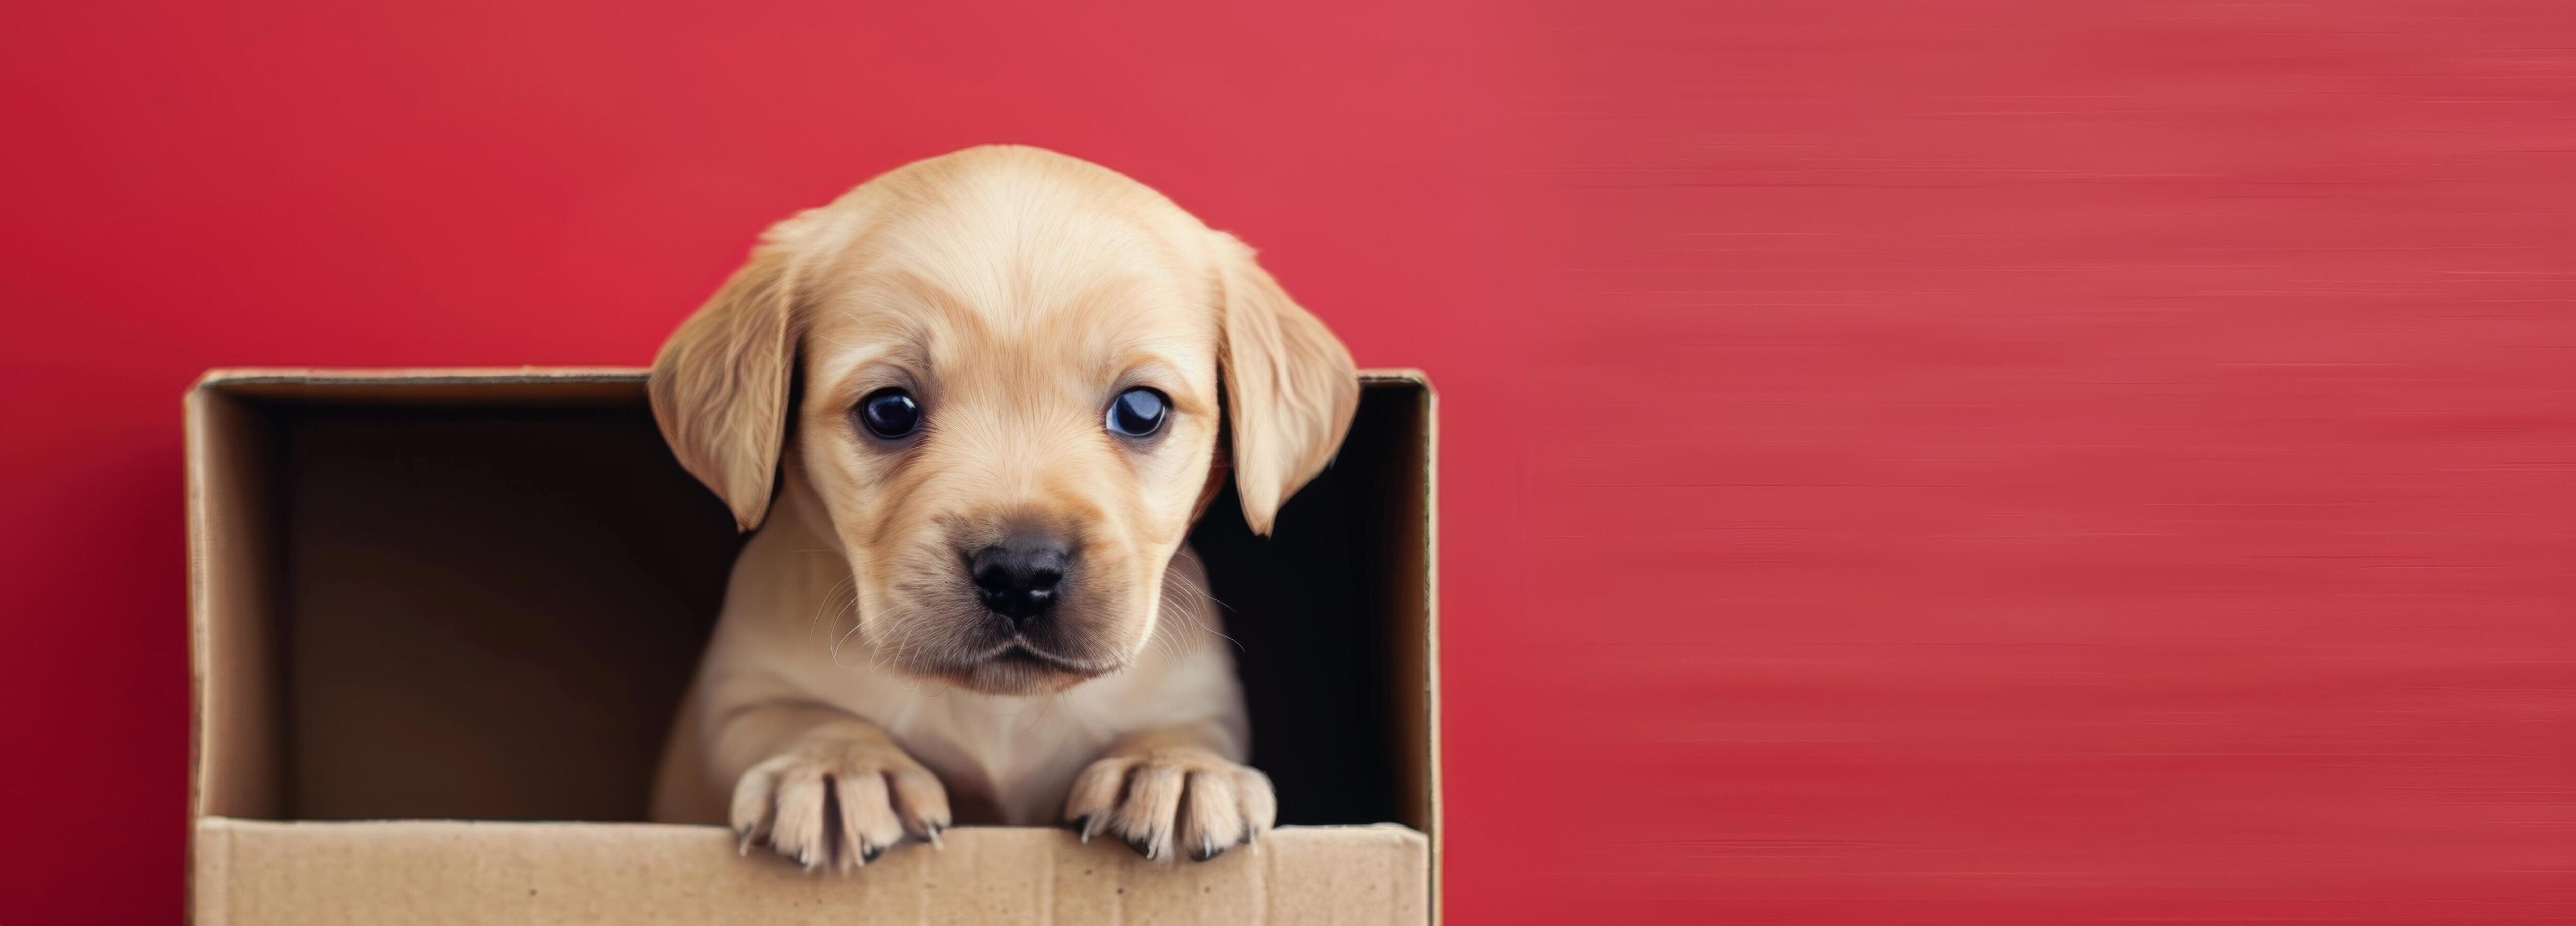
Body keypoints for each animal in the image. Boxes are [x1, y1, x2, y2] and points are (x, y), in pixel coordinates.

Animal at [644, 142, 1360, 869]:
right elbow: (794, 716)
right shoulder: (733, 699)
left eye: (1141, 409)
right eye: (888, 410)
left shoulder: (1202, 697)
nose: (1021, 573)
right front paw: (836, 768)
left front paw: (1174, 769)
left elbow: (1180, 728)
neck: (1000, 710)